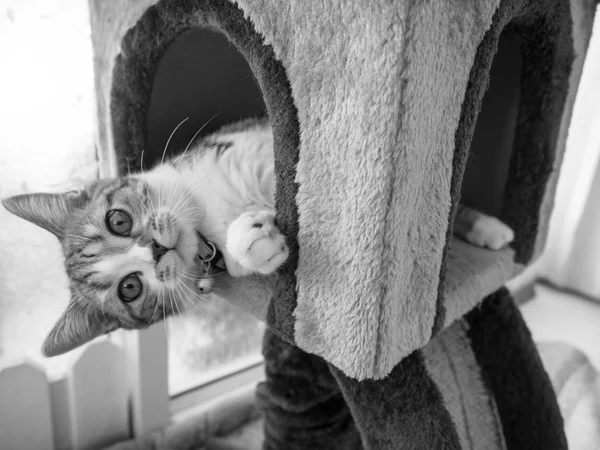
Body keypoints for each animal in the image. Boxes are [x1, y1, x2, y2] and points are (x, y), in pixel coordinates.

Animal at [1, 118, 516, 356]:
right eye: (131, 288)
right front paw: (253, 243)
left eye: (118, 221)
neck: (203, 215)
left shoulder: (250, 143)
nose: (156, 249)